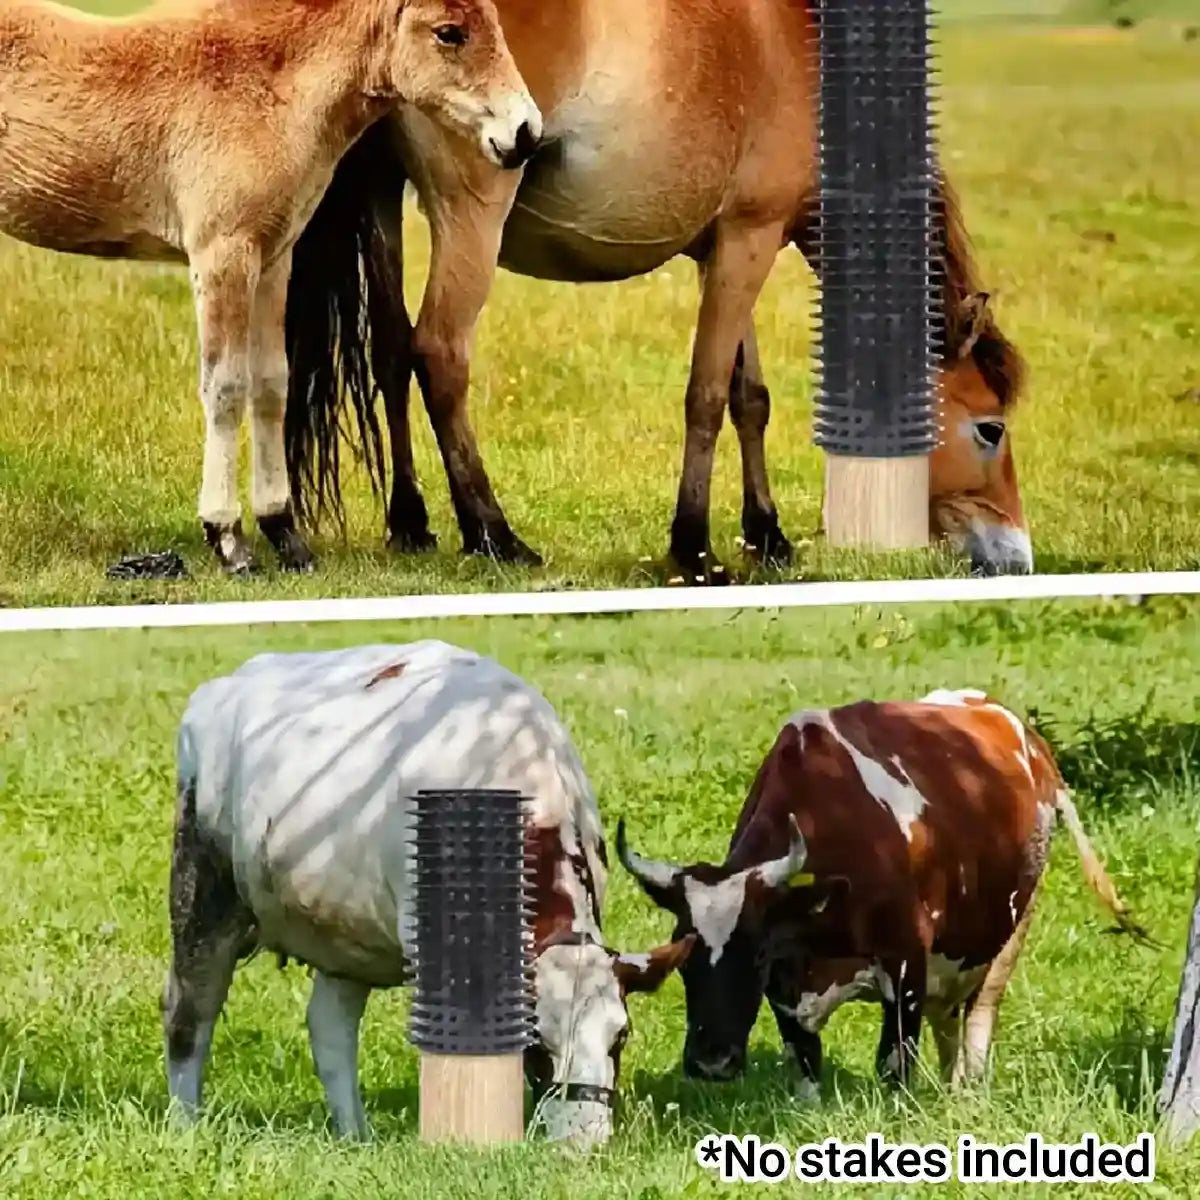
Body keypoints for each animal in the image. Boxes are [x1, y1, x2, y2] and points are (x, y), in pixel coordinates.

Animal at [0, 0, 540, 575]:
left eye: (496, 24)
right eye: (449, 33)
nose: (527, 133)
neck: (265, 87)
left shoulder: (274, 258)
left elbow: (271, 383)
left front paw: (285, 534)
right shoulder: (223, 255)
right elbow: (225, 386)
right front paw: (228, 538)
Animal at [163, 639, 694, 1149]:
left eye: (620, 1036)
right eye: (537, 1043)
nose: (583, 1142)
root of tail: (224, 686)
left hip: (341, 936)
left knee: (330, 1030)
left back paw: (356, 1136)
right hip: (202, 891)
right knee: (189, 1013)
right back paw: (186, 1127)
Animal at [281, 0, 1035, 583]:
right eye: (990, 428)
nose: (1018, 557)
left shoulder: (725, 248)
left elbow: (749, 398)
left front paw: (768, 535)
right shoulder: (749, 242)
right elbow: (706, 395)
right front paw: (693, 546)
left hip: (382, 200)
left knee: (390, 355)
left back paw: (411, 524)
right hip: (472, 215)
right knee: (438, 353)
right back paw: (493, 533)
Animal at [616, 688, 1149, 1096]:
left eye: (756, 952)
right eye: (684, 958)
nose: (711, 1063)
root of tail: (1020, 731)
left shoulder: (907, 964)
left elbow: (894, 1067)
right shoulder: (789, 996)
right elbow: (806, 1068)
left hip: (1010, 928)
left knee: (980, 1015)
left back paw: (969, 1091)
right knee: (948, 1020)